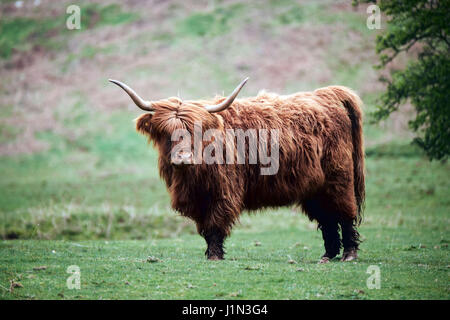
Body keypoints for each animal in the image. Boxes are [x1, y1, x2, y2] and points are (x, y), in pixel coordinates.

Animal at [110, 77, 366, 262]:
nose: (183, 157)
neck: (191, 176)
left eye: (196, 131)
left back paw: (349, 255)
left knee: (345, 213)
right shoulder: (198, 199)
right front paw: (211, 253)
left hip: (338, 178)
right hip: (314, 188)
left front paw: (214, 256)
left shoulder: (223, 192)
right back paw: (328, 255)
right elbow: (204, 227)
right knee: (327, 218)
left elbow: (215, 223)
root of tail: (326, 94)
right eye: (166, 132)